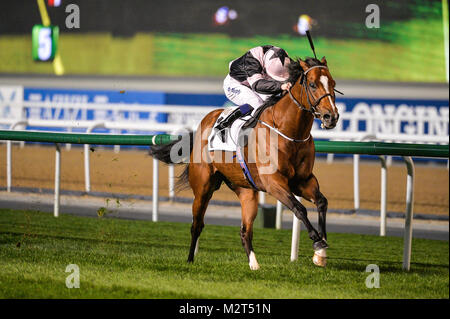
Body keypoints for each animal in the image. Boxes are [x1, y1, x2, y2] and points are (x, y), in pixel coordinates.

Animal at [149, 57, 340, 270]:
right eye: (313, 84)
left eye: (333, 83)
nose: (331, 116)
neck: (288, 132)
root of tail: (203, 124)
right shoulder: (274, 183)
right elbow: (299, 208)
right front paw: (317, 240)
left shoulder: (303, 180)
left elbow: (322, 202)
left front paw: (321, 252)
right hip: (203, 187)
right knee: (197, 225)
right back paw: (190, 260)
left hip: (247, 191)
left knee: (245, 231)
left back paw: (254, 265)